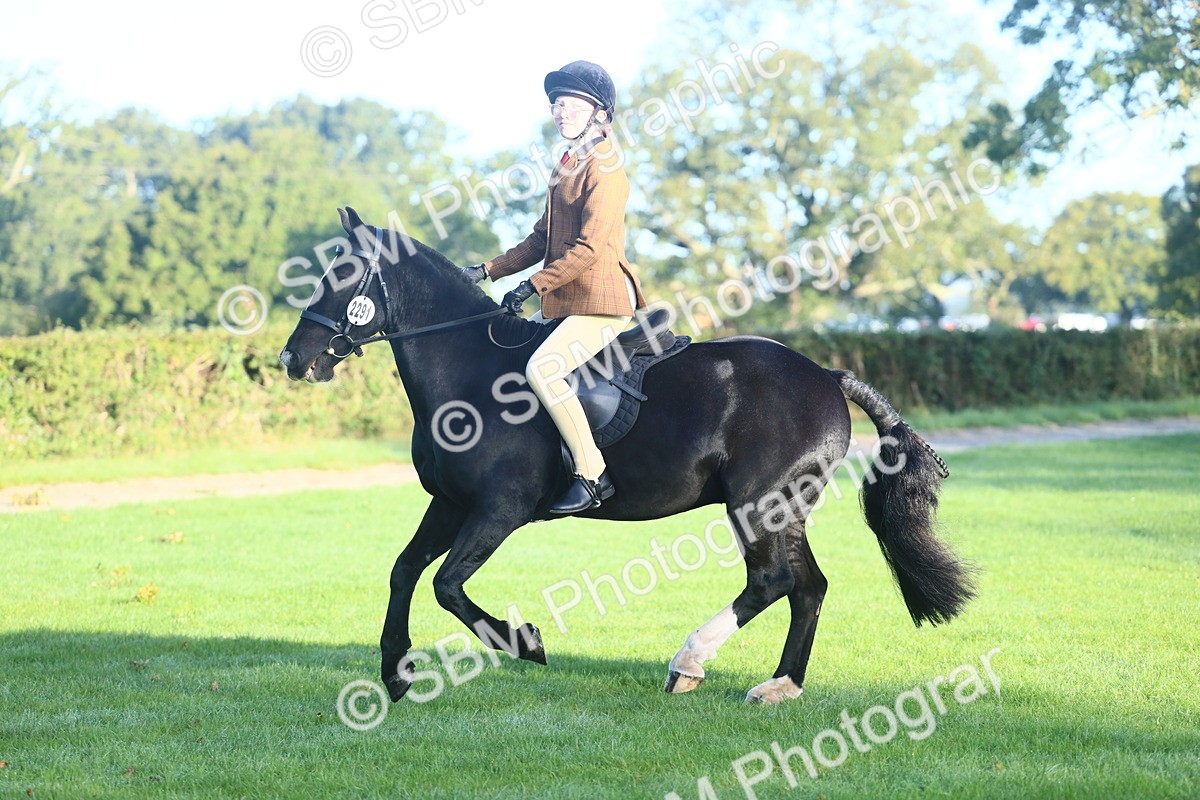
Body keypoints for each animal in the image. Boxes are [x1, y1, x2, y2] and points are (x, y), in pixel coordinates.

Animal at [279, 207, 976, 705]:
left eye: (342, 276)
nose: (292, 358)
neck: (468, 370)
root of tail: (828, 376)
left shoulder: (499, 510)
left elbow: (448, 584)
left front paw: (526, 643)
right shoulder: (450, 504)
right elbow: (404, 572)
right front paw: (396, 672)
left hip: (758, 505)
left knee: (772, 581)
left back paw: (688, 662)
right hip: (783, 510)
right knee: (807, 586)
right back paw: (780, 685)